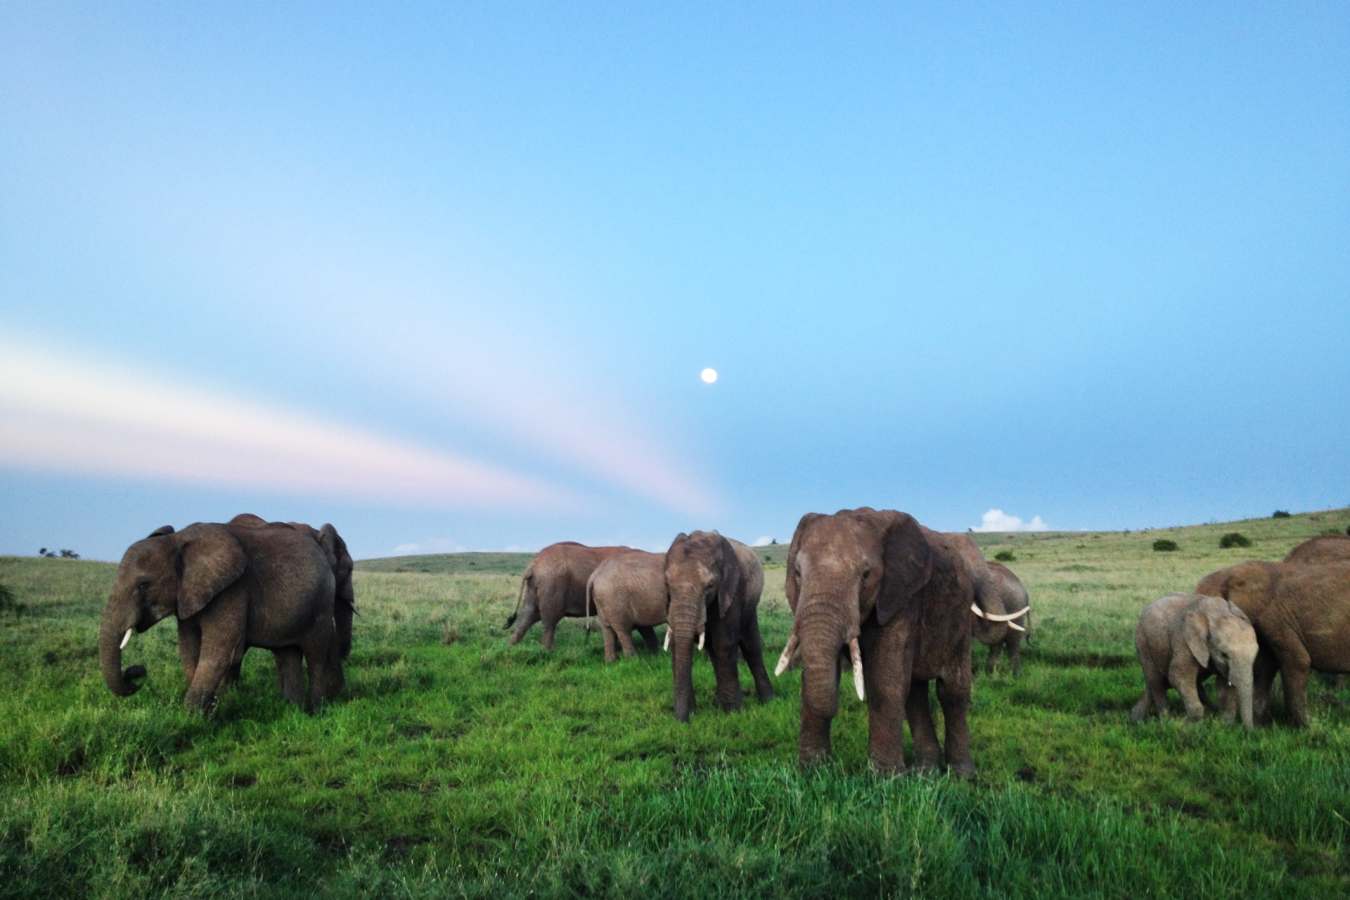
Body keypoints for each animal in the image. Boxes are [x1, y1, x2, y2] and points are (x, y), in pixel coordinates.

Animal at [99, 521, 343, 713]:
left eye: (143, 585)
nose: (137, 672)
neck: (178, 541)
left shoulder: (232, 590)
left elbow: (219, 650)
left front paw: (193, 717)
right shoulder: (189, 596)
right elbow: (188, 649)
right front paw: (211, 708)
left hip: (321, 605)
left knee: (315, 655)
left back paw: (315, 711)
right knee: (287, 654)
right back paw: (292, 710)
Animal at [664, 531, 773, 722]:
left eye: (710, 586)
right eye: (668, 584)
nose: (682, 722)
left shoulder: (732, 590)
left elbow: (724, 643)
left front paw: (733, 713)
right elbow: (677, 645)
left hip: (750, 606)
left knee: (751, 647)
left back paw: (768, 700)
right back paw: (718, 702)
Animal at [776, 508, 979, 775]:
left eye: (865, 575)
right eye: (798, 573)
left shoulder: (901, 597)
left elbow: (884, 680)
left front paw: (885, 777)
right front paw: (812, 770)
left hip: (961, 620)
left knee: (952, 692)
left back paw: (961, 775)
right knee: (915, 694)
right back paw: (925, 773)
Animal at [1130, 593, 1257, 729]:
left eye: (1255, 654)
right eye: (1224, 654)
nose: (1250, 731)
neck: (1215, 614)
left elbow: (1224, 684)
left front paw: (1223, 725)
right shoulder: (1184, 641)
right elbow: (1178, 676)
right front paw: (1191, 727)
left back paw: (1135, 719)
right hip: (1143, 643)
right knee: (1156, 682)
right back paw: (1166, 721)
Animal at [1196, 560, 1350, 726]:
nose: (1211, 714)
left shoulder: (1275, 617)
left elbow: (1297, 661)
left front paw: (1305, 727)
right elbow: (1265, 667)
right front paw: (1261, 726)